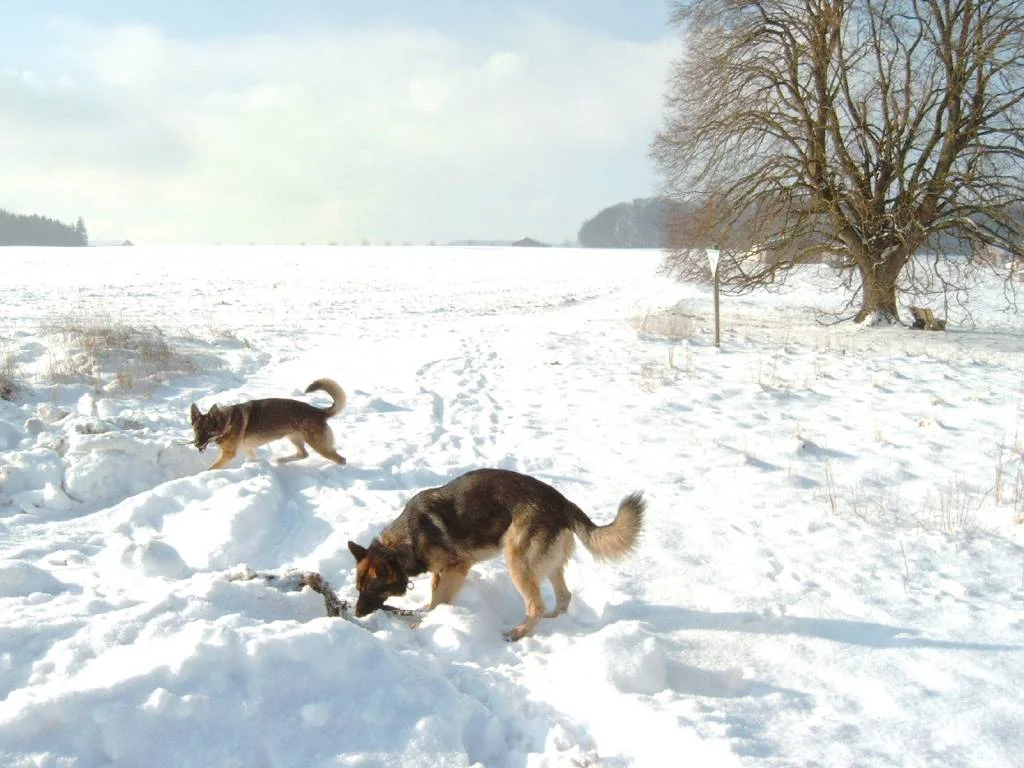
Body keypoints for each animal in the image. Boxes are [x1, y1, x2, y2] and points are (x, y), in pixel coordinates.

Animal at [191, 376, 348, 468]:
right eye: (196, 430)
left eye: (207, 430)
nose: (196, 444)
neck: (227, 423)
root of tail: (319, 412)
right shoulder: (248, 449)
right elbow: (252, 457)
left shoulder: (228, 455)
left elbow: (211, 467)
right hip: (294, 438)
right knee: (303, 454)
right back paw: (281, 460)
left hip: (317, 445)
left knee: (341, 459)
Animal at [348, 468, 643, 643]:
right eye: (358, 588)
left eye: (371, 589)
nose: (356, 613)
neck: (398, 547)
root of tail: (563, 503)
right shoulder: (440, 572)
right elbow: (434, 598)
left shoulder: (457, 567)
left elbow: (438, 602)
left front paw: (423, 624)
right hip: (548, 565)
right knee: (563, 597)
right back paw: (551, 623)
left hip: (518, 561)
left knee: (536, 606)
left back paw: (517, 634)